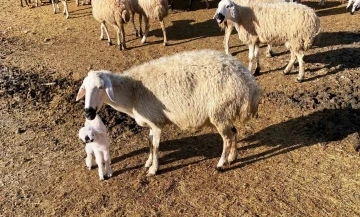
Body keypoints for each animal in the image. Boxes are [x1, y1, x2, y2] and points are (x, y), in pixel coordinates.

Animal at [75, 49, 262, 176]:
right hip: (226, 112)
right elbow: (150, 143)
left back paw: (221, 164)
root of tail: (249, 83)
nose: (89, 113)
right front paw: (148, 162)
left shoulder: (156, 122)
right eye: (84, 88)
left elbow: (156, 146)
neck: (132, 93)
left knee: (227, 138)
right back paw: (232, 157)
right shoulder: (151, 123)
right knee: (234, 132)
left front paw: (153, 169)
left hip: (220, 112)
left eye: (100, 87)